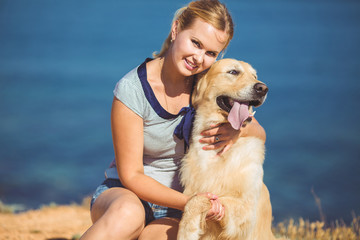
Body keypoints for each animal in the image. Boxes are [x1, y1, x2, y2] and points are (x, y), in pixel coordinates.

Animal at [177, 58, 282, 240]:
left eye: (254, 76)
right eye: (233, 72)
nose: (263, 88)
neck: (219, 150)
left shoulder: (246, 210)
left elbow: (203, 200)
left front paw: (186, 230)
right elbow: (194, 200)